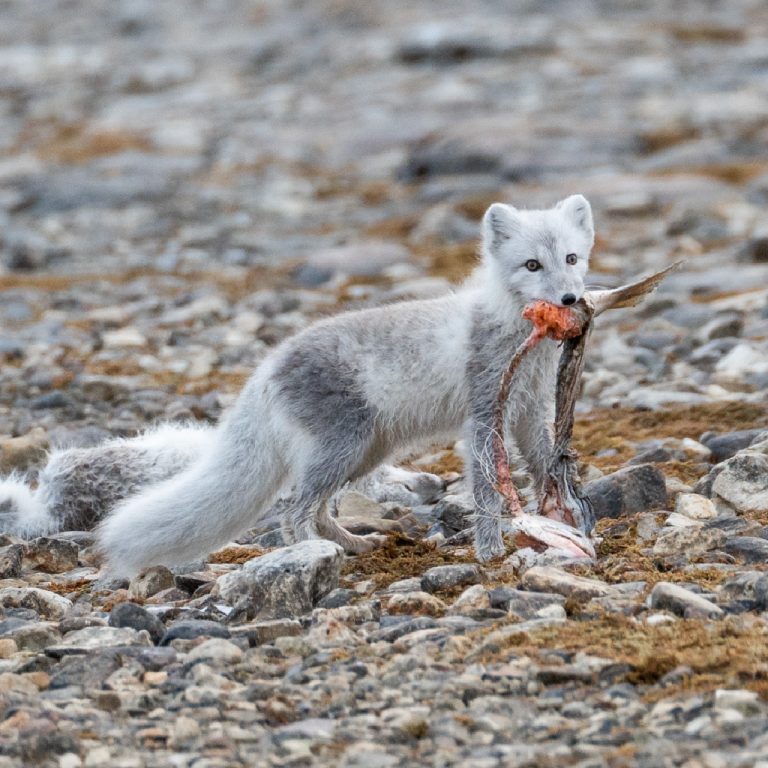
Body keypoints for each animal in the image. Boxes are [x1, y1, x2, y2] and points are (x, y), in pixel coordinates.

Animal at [0, 195, 594, 574]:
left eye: (571, 258)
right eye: (531, 265)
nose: (568, 299)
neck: (512, 327)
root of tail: (265, 367)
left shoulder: (528, 411)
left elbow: (544, 463)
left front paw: (568, 520)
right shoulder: (483, 415)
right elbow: (487, 491)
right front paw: (491, 550)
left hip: (363, 451)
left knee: (318, 509)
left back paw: (354, 545)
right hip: (344, 447)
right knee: (293, 511)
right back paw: (313, 557)